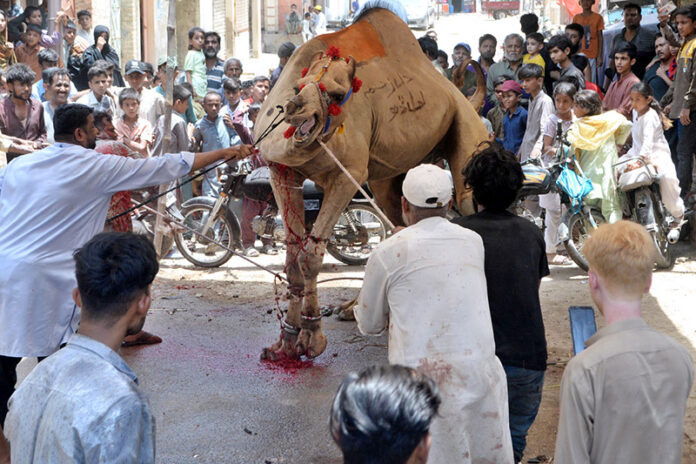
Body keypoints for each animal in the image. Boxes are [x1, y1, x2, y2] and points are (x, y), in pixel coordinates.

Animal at [256, 1, 490, 360]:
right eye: (298, 86)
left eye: (337, 94)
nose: (295, 107)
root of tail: (461, 96)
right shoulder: (281, 170)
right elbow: (293, 258)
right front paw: (286, 342)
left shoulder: (348, 173)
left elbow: (310, 256)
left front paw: (312, 338)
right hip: (393, 175)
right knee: (398, 222)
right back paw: (358, 309)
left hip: (465, 131)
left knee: (467, 206)